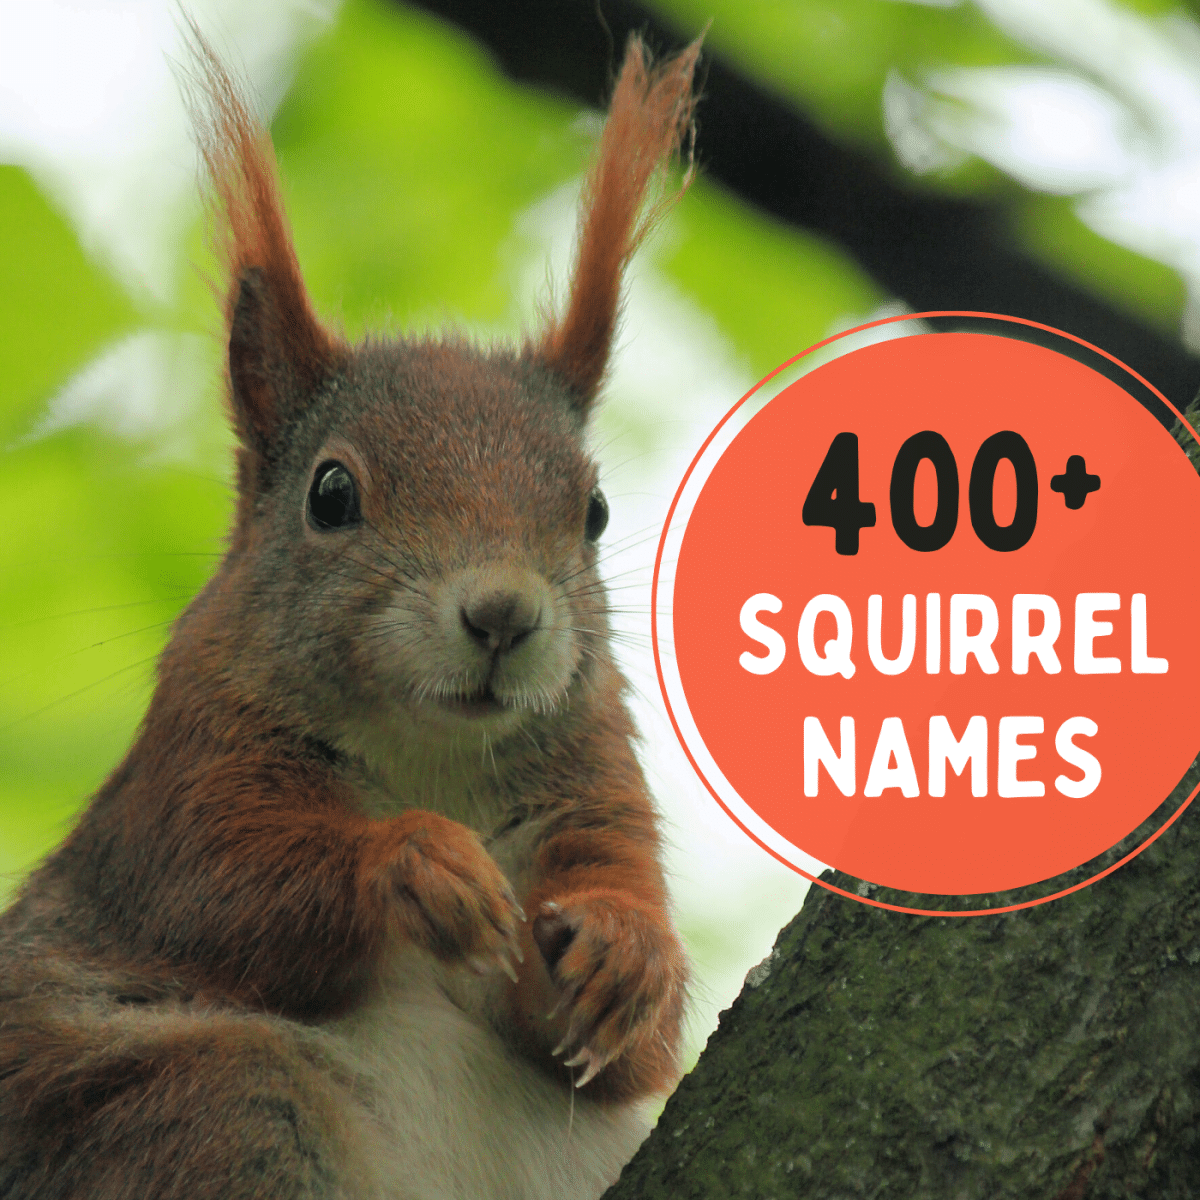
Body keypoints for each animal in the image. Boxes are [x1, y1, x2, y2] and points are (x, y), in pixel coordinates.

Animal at [0, 28, 700, 1200]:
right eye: (332, 495)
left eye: (594, 511)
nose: (504, 615)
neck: (430, 754)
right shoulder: (187, 767)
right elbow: (220, 892)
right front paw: (414, 863)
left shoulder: (600, 780)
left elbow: (634, 1045)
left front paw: (626, 952)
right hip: (210, 1104)